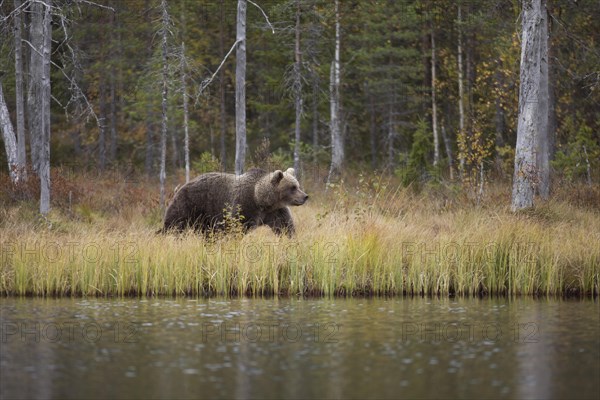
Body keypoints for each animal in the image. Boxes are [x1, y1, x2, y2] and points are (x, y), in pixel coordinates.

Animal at [161, 167, 310, 236]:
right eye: (292, 187)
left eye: (297, 185)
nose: (305, 196)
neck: (261, 200)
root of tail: (181, 187)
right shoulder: (244, 205)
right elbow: (235, 227)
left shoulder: (275, 211)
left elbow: (285, 226)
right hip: (189, 205)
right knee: (175, 225)